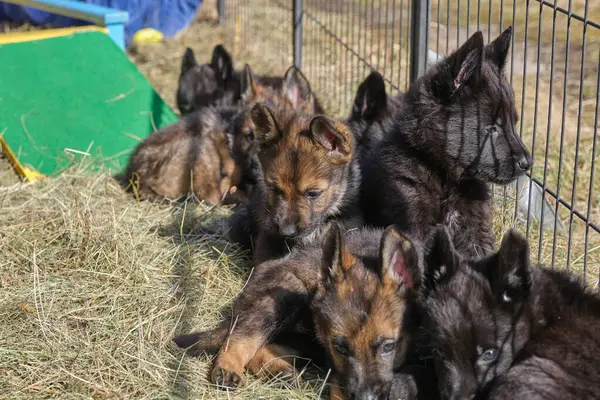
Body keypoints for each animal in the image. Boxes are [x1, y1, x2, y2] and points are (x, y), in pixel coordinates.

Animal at [358, 28, 532, 260]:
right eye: (492, 127)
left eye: (514, 122)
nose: (527, 163)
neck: (446, 178)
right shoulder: (413, 223)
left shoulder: (476, 232)